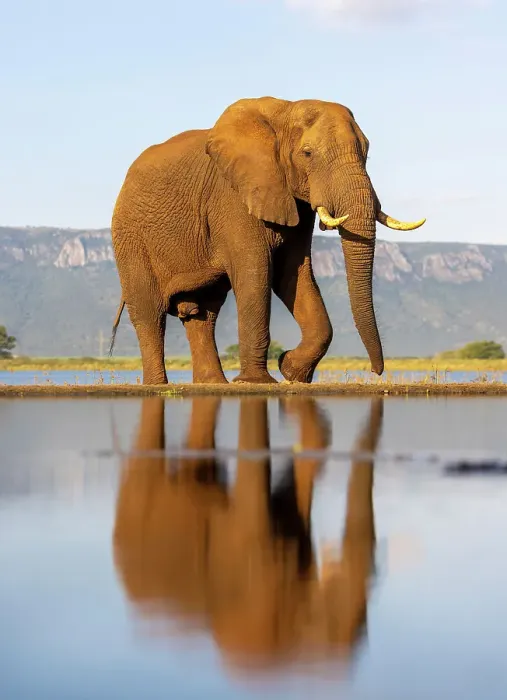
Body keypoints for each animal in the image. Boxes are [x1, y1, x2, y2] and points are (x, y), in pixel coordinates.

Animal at [109, 97, 426, 385]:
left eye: (367, 153)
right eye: (307, 153)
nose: (376, 371)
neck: (285, 111)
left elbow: (293, 274)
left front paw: (291, 371)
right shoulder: (233, 196)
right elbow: (256, 272)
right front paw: (257, 382)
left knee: (202, 314)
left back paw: (214, 384)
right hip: (130, 236)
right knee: (149, 314)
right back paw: (158, 385)